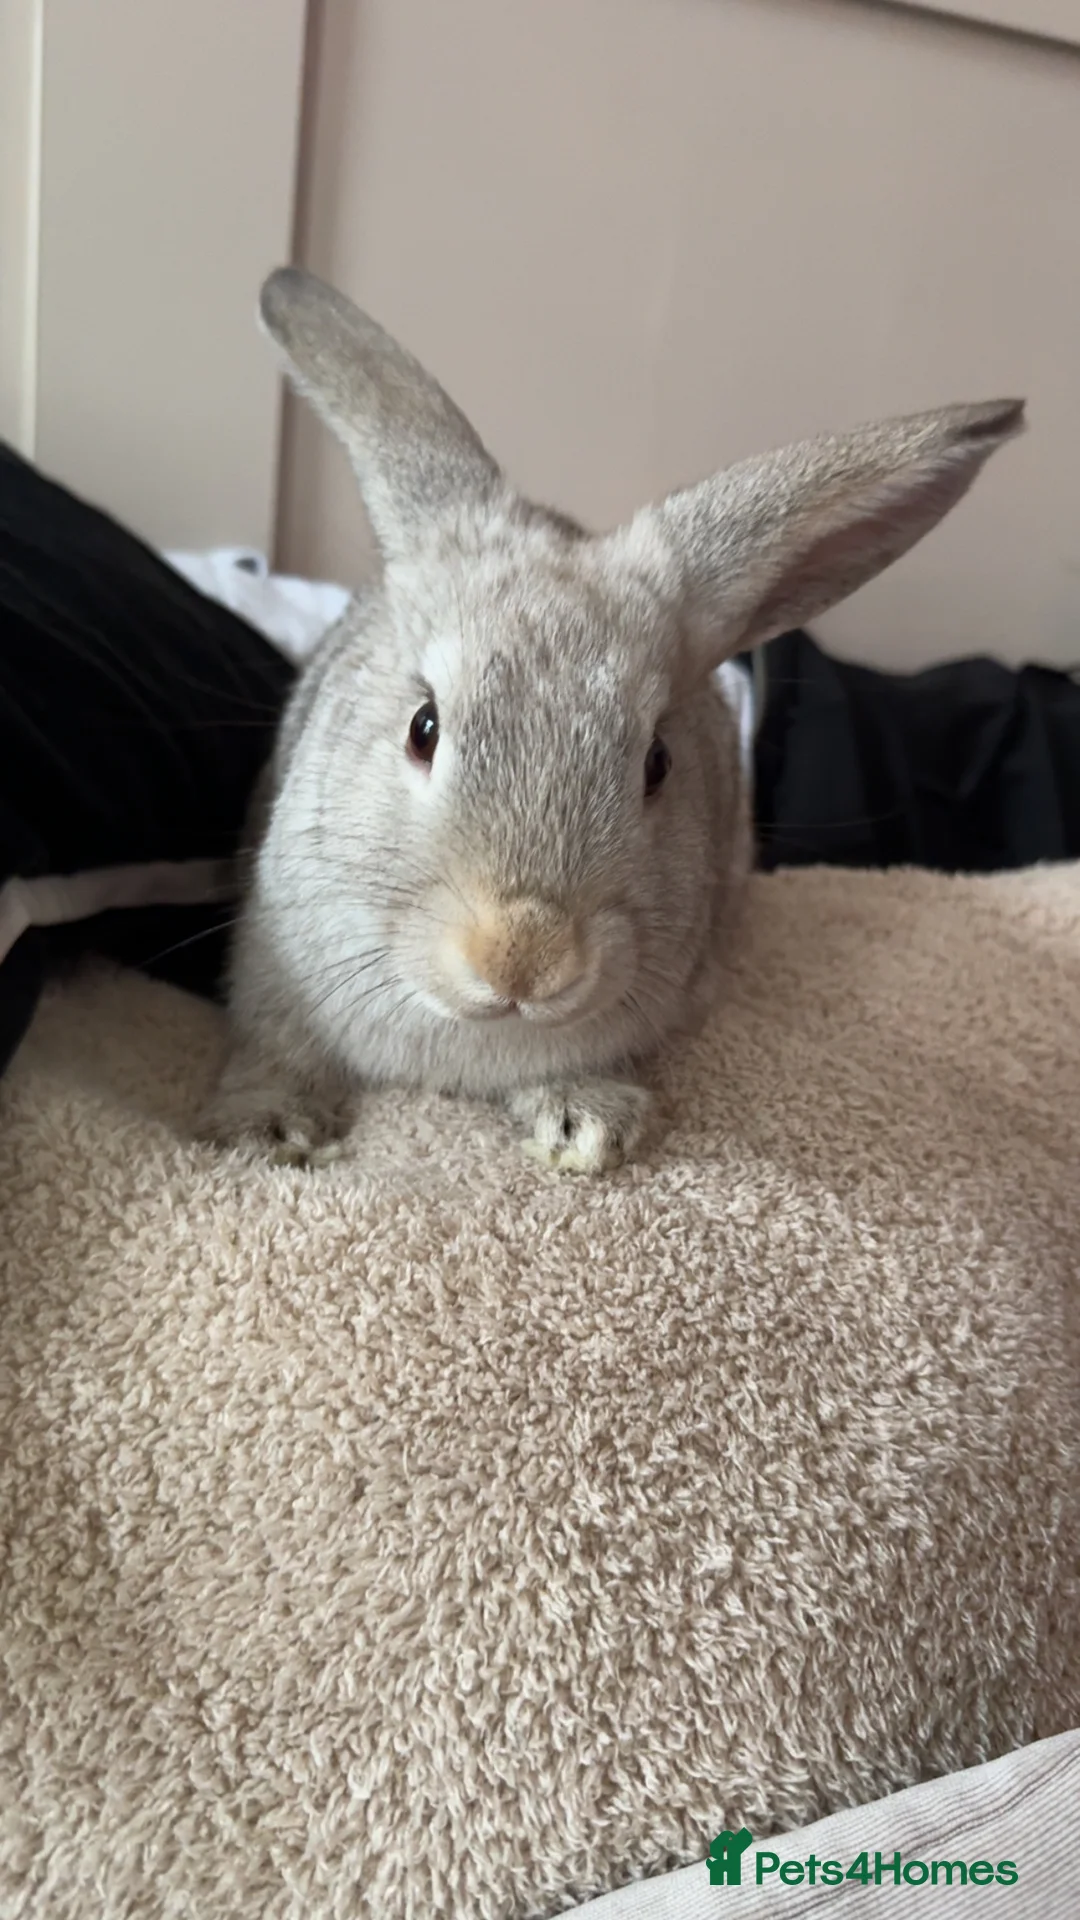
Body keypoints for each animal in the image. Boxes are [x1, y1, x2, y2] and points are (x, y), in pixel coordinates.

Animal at [199, 265, 1024, 1174]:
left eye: (656, 762)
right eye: (423, 727)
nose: (522, 959)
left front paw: (587, 1123)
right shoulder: (271, 969)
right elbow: (276, 1052)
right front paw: (265, 1131)